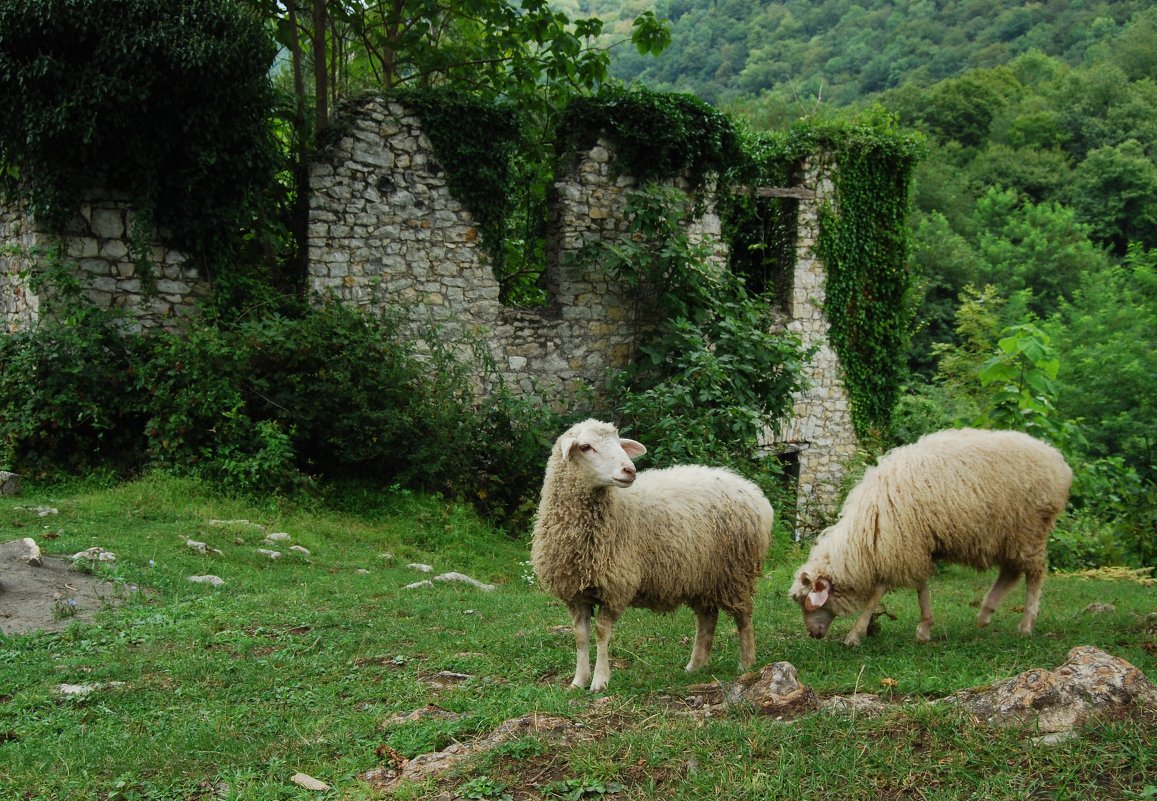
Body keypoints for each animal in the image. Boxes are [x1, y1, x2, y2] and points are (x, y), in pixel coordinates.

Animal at [529, 421, 772, 689]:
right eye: (585, 447)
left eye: (619, 443)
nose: (629, 470)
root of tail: (751, 490)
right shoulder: (574, 592)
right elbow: (580, 636)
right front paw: (578, 681)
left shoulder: (616, 587)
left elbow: (602, 632)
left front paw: (600, 681)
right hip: (702, 575)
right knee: (707, 618)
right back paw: (695, 665)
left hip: (736, 572)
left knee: (744, 615)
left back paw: (746, 662)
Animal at [791, 428, 1069, 648]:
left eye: (806, 602)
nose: (813, 634)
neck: (866, 530)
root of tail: (1057, 460)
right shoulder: (914, 545)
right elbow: (921, 586)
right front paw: (925, 628)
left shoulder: (898, 545)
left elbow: (876, 594)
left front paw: (855, 634)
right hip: (1008, 534)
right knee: (1010, 571)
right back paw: (985, 613)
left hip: (1031, 528)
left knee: (1035, 572)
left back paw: (1026, 623)